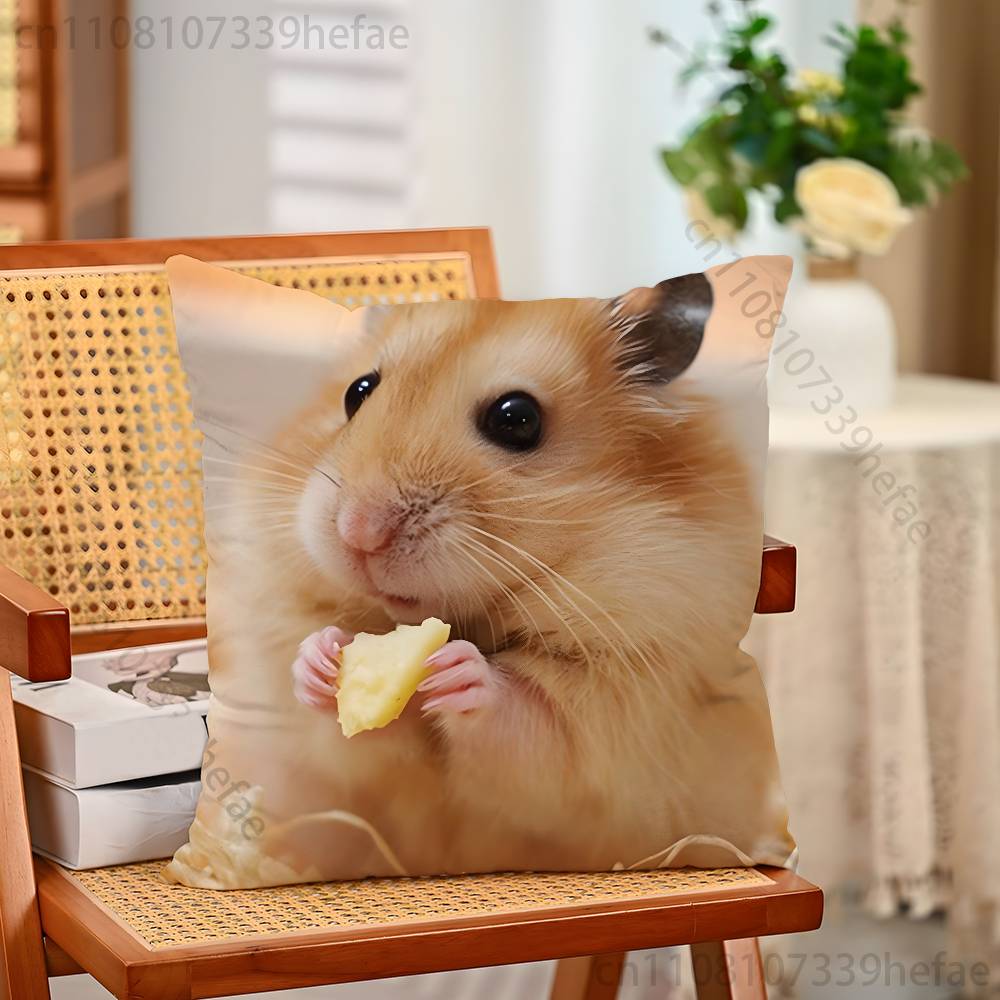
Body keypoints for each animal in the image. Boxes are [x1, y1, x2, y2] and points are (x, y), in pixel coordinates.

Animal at [223, 270, 794, 878]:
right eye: (358, 392)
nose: (359, 532)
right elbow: (345, 733)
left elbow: (531, 719)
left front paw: (458, 669)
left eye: (517, 418)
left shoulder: (618, 706)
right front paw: (322, 656)